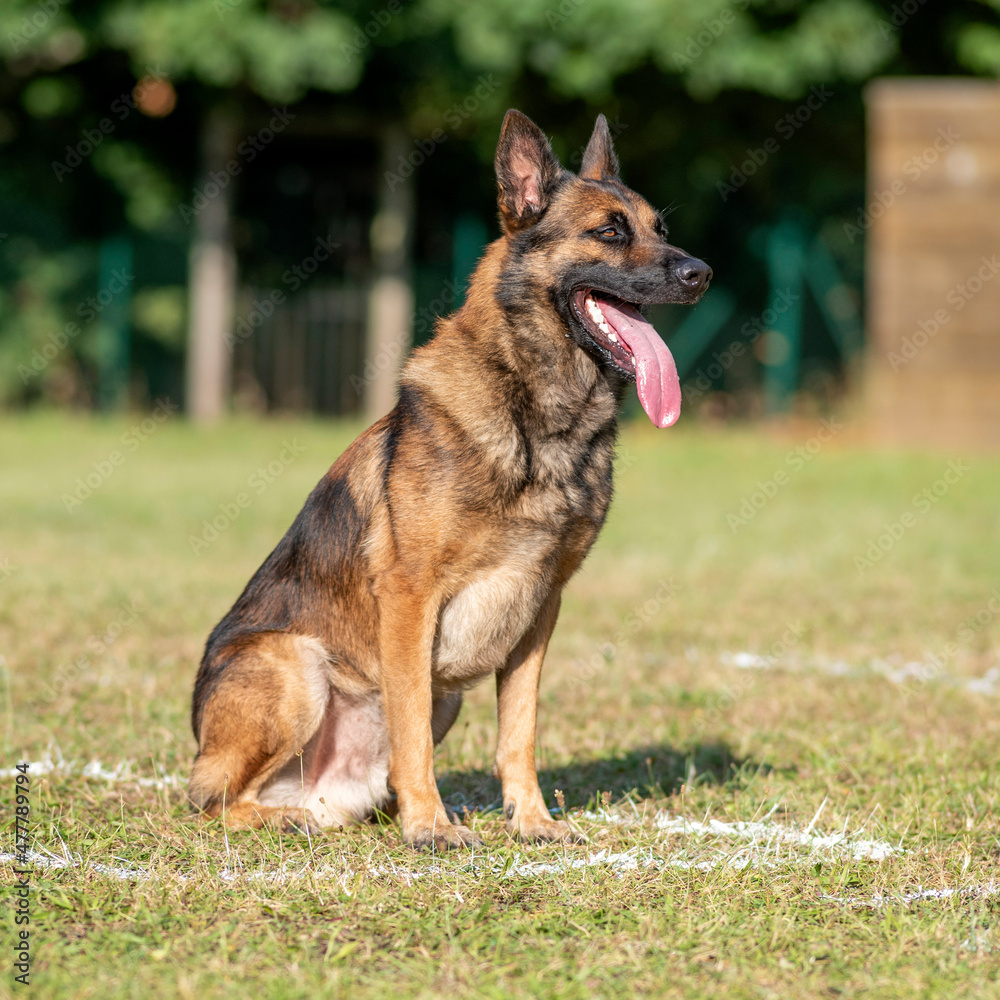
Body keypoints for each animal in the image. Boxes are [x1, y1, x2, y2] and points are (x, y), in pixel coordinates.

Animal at [189, 109, 712, 848]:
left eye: (659, 230)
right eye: (610, 232)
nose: (702, 273)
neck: (534, 414)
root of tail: (319, 792)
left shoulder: (540, 609)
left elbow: (518, 733)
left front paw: (532, 821)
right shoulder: (412, 598)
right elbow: (410, 732)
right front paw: (430, 827)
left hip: (447, 698)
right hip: (293, 664)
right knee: (215, 798)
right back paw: (291, 817)